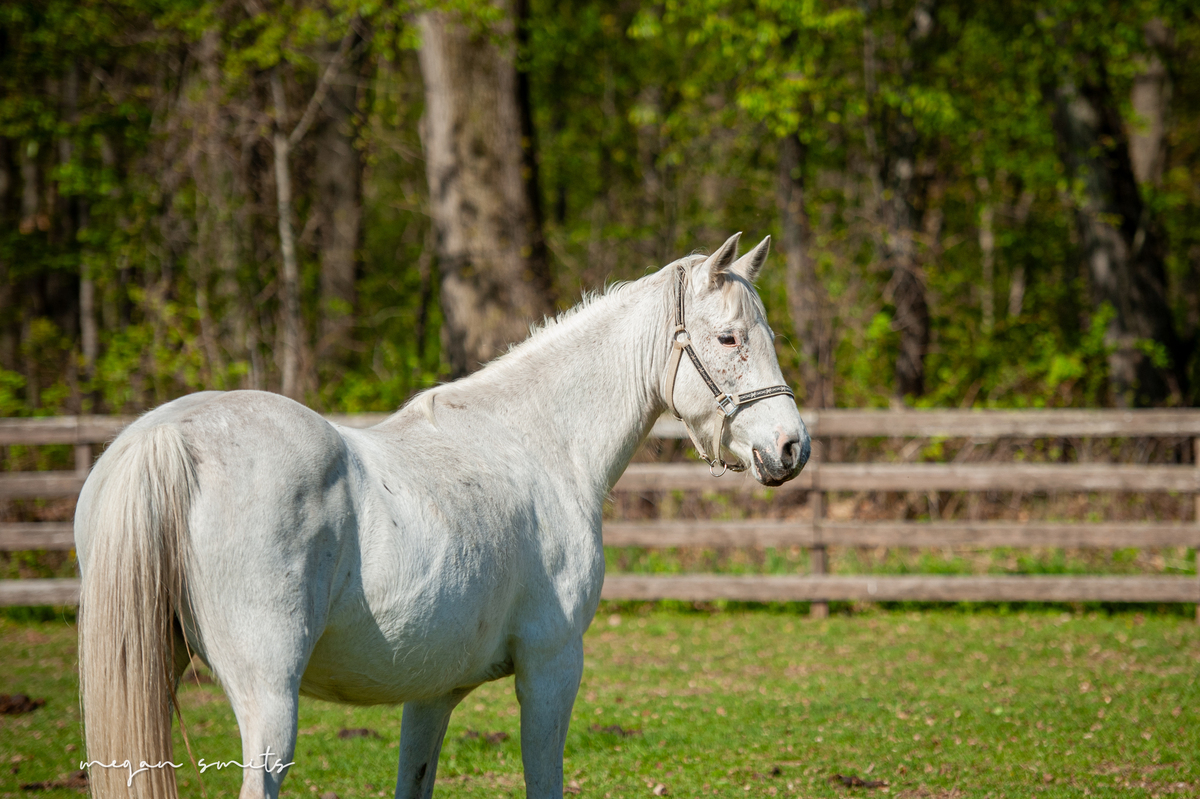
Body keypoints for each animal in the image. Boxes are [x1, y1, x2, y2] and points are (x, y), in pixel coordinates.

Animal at [74, 233, 810, 799]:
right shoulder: (551, 666)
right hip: (269, 698)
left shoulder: (430, 690)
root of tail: (169, 438)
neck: (538, 441)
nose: (792, 447)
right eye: (729, 337)